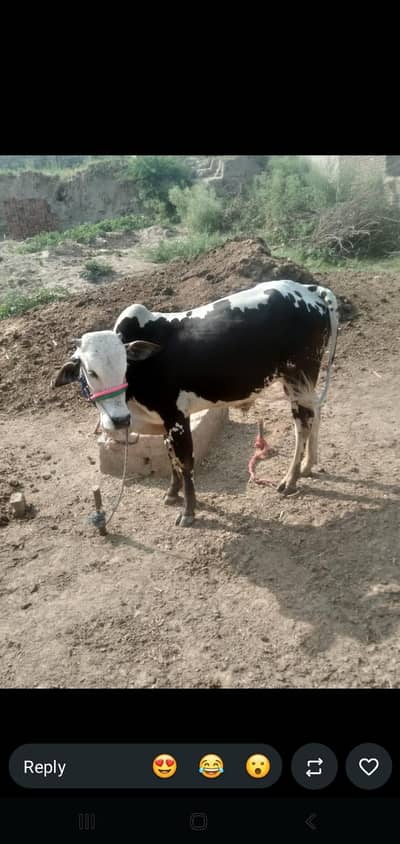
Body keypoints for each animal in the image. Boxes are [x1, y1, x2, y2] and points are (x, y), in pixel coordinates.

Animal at [52, 279, 339, 527]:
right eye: (90, 371)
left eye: (125, 366)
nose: (120, 420)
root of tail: (309, 289)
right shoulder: (165, 422)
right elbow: (170, 458)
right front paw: (172, 492)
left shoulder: (176, 417)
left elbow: (185, 462)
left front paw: (188, 511)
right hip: (303, 382)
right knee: (317, 412)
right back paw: (308, 465)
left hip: (298, 377)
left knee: (302, 424)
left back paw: (291, 478)